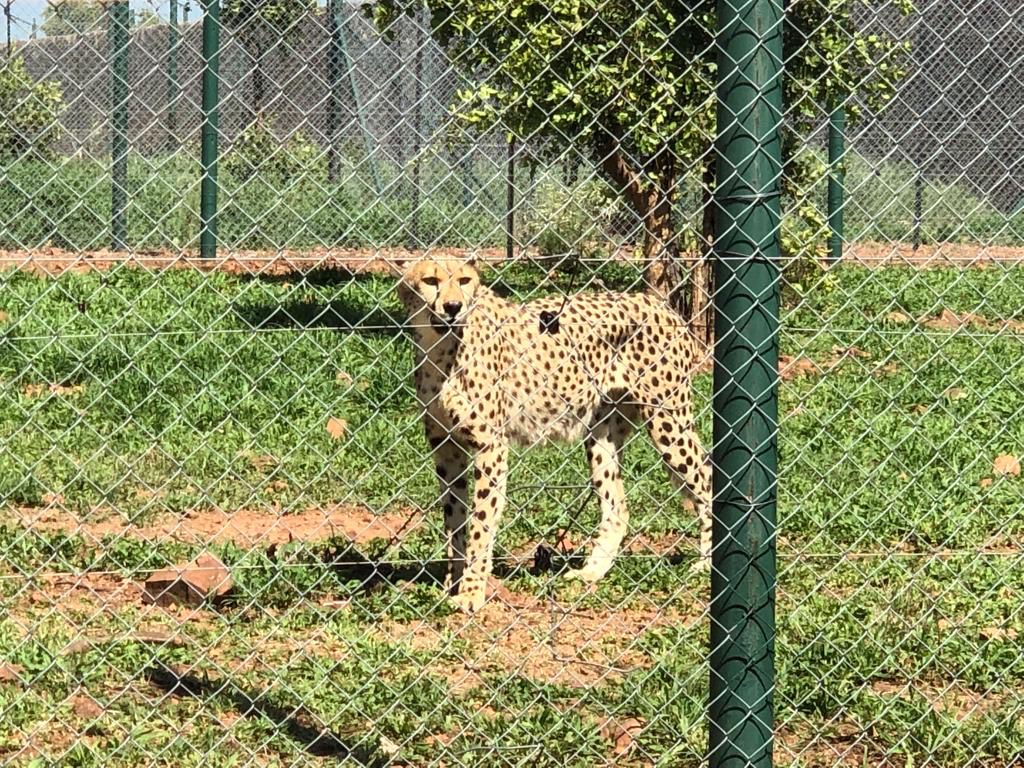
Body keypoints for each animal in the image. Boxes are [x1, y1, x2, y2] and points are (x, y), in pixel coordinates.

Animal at [393, 259, 712, 614]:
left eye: (464, 280)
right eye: (430, 280)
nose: (452, 307)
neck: (439, 345)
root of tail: (655, 302)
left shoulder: (490, 446)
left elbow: (480, 523)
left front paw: (471, 592)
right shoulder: (446, 447)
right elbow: (455, 521)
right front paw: (452, 585)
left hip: (667, 418)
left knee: (706, 476)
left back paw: (707, 564)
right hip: (601, 433)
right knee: (617, 504)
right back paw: (592, 572)